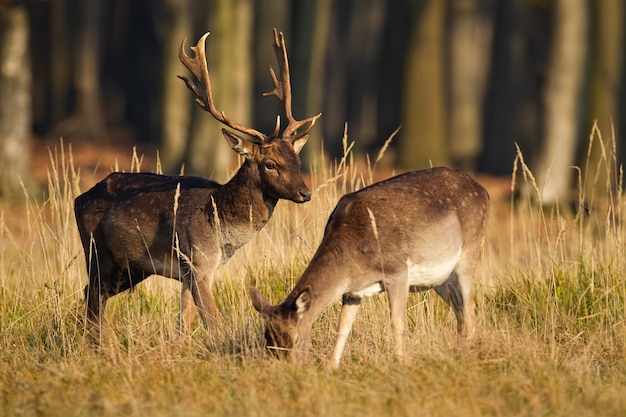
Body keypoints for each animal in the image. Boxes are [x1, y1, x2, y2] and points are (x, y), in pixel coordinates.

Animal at [73, 28, 320, 338]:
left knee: (92, 293)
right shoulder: (197, 260)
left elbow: (184, 322)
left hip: (130, 268)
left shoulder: (192, 270)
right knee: (93, 294)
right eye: (270, 164)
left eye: (297, 160)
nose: (305, 192)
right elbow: (213, 324)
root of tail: (79, 198)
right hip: (97, 252)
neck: (221, 230)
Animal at [249, 166, 488, 368]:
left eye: (295, 338)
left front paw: (402, 364)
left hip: (470, 249)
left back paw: (469, 354)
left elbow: (396, 323)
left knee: (470, 305)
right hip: (440, 278)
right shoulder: (352, 291)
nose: (287, 370)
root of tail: (483, 191)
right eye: (267, 340)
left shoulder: (397, 271)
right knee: (459, 307)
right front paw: (331, 368)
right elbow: (343, 326)